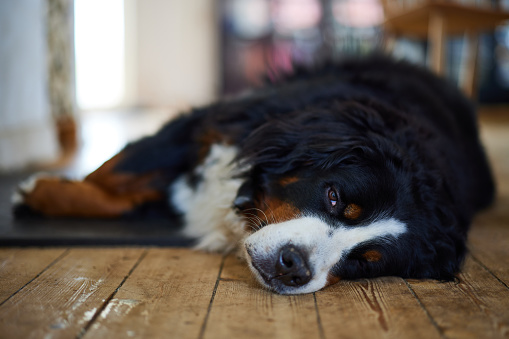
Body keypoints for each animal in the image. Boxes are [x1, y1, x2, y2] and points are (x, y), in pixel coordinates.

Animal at [13, 55, 494, 294]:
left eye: (365, 261)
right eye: (335, 197)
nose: (293, 267)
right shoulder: (206, 128)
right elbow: (119, 173)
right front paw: (42, 192)